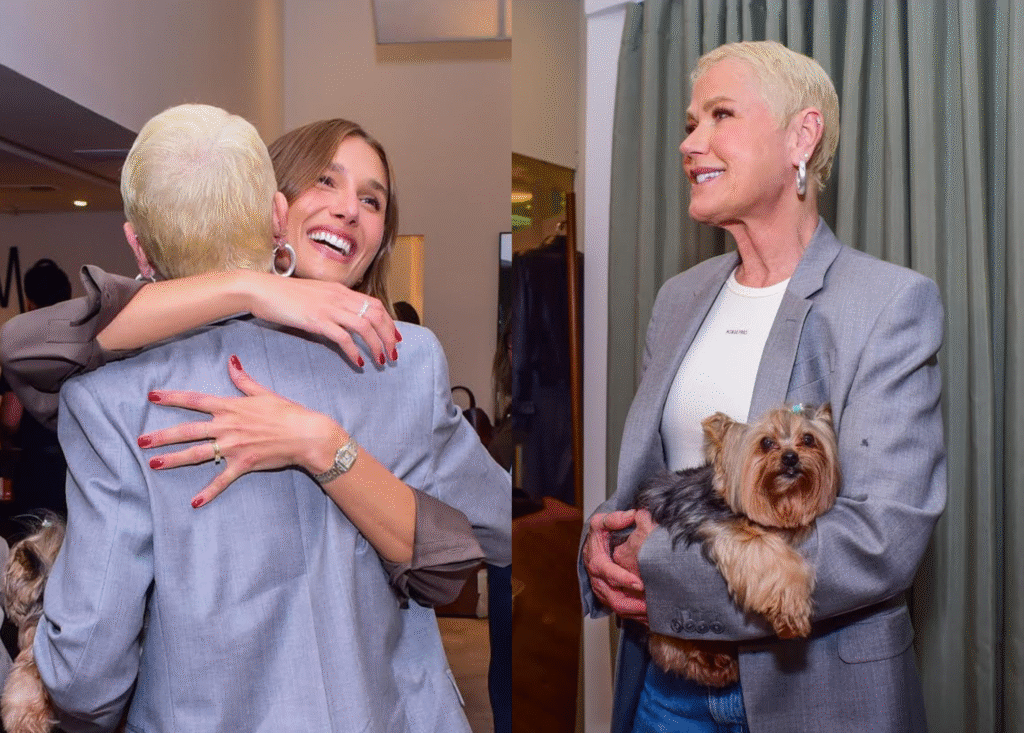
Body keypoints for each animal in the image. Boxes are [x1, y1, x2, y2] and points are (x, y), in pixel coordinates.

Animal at [631, 403, 840, 687]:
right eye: (766, 443)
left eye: (808, 439)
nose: (790, 457)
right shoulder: (725, 529)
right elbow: (768, 553)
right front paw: (792, 607)